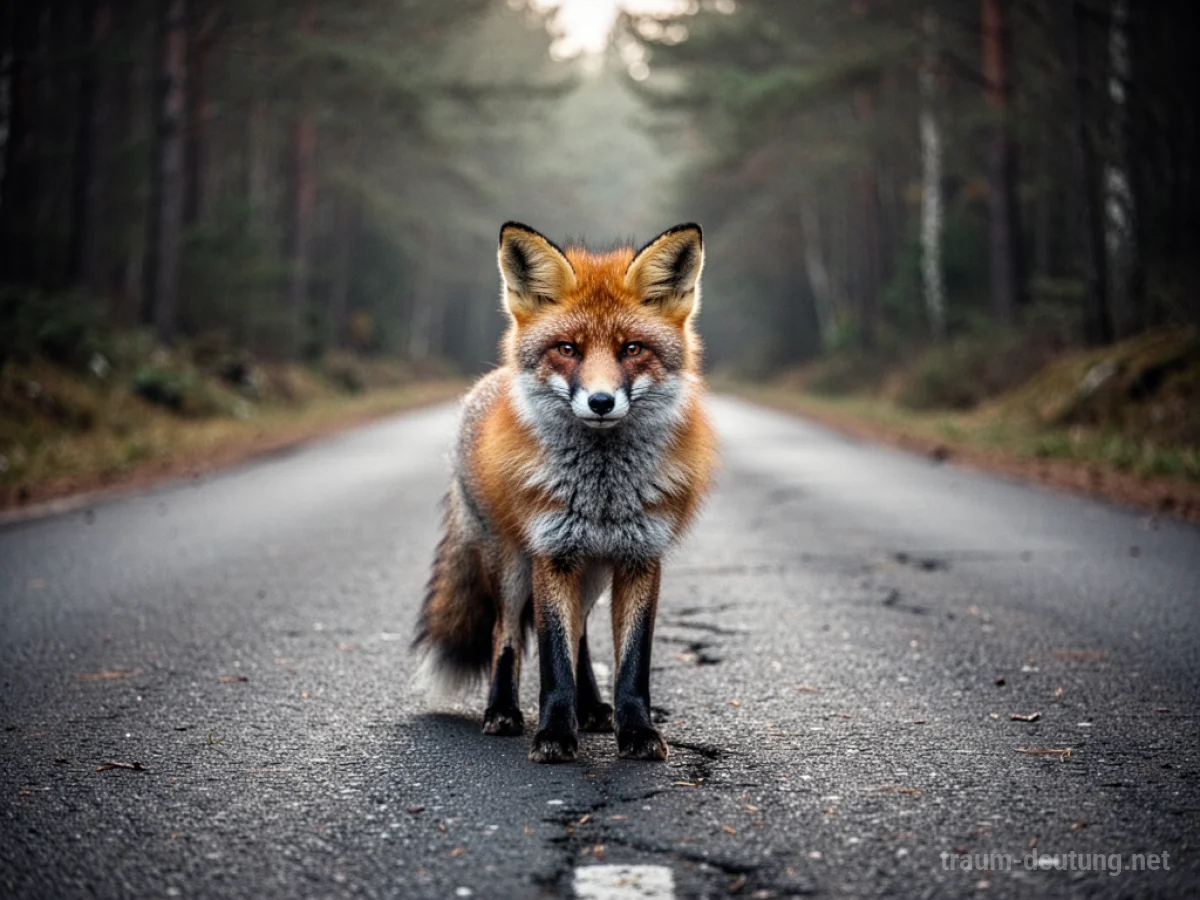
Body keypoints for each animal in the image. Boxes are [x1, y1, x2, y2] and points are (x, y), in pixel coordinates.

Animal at [413, 221, 717, 764]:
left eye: (632, 349)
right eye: (568, 349)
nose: (600, 401)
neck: (603, 493)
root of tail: (484, 388)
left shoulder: (641, 557)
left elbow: (630, 662)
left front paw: (636, 732)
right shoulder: (550, 554)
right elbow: (552, 657)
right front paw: (555, 733)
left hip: (590, 570)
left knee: (581, 636)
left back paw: (592, 708)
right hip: (512, 564)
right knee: (506, 634)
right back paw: (503, 712)